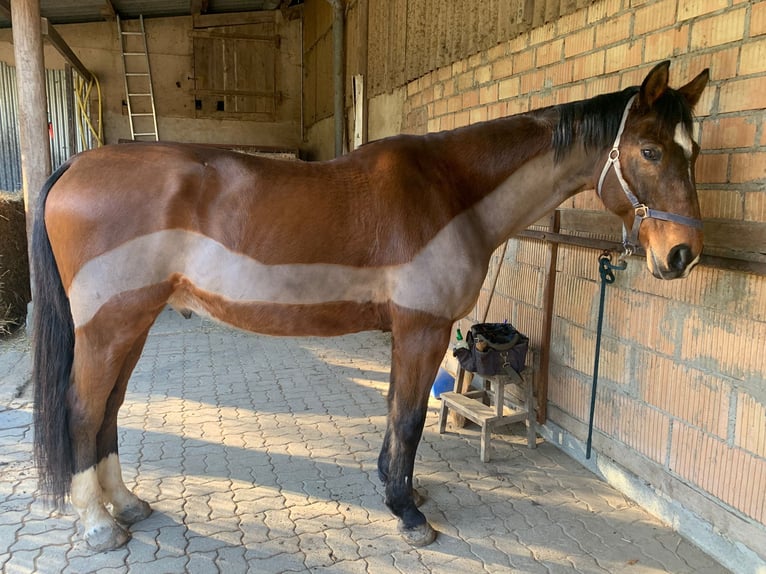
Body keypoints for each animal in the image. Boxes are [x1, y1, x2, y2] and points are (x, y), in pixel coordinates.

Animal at [33, 60, 712, 552]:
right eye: (650, 151)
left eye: (694, 152)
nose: (683, 255)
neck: (452, 192)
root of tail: (75, 165)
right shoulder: (422, 329)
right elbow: (407, 420)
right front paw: (408, 514)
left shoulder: (408, 332)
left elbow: (393, 415)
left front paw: (397, 491)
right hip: (110, 326)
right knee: (83, 410)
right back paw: (99, 524)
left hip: (132, 324)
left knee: (110, 410)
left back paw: (127, 505)